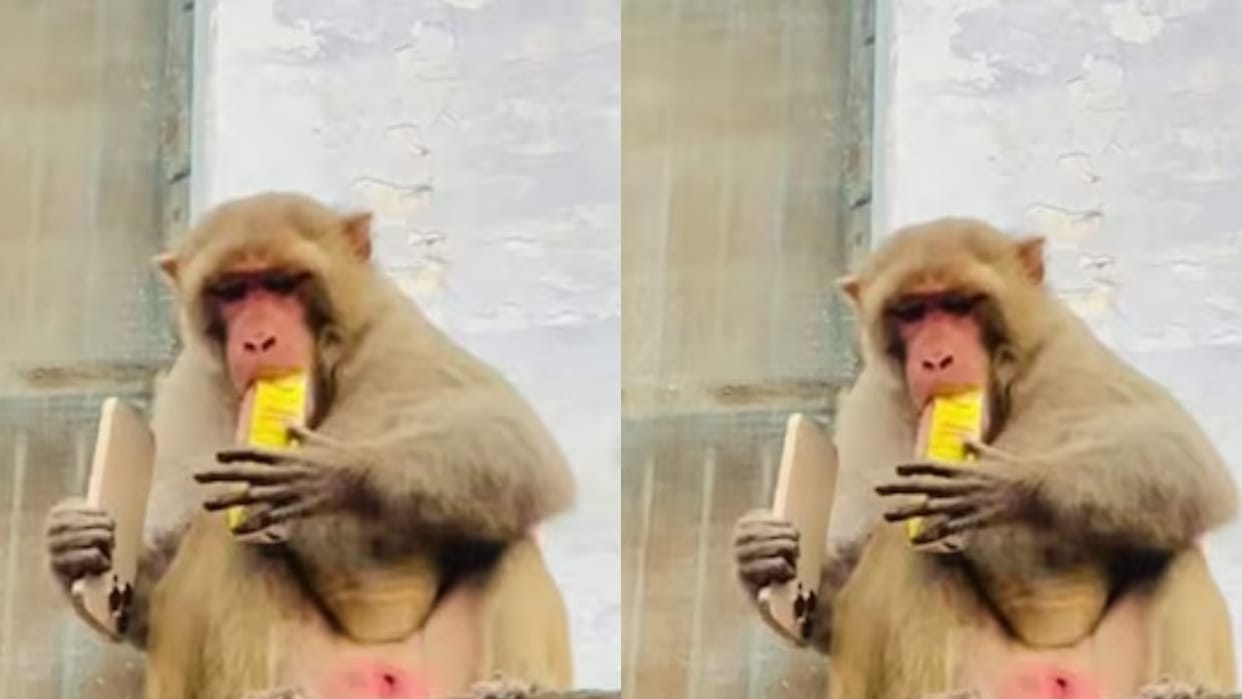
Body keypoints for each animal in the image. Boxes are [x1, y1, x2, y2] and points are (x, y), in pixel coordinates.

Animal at [44, 191, 577, 699]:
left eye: (282, 283)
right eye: (233, 291)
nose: (258, 340)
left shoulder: (397, 333)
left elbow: (517, 443)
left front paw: (331, 473)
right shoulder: (192, 383)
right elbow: (156, 583)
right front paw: (75, 544)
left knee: (506, 528)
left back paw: (514, 684)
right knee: (228, 532)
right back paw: (263, 691)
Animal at [734, 218, 1239, 699]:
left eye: (959, 305)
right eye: (912, 312)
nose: (936, 359)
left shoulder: (1069, 352)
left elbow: (1183, 456)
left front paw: (1005, 486)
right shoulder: (873, 400)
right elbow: (838, 590)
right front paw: (761, 554)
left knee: (1173, 540)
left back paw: (1182, 687)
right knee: (906, 540)